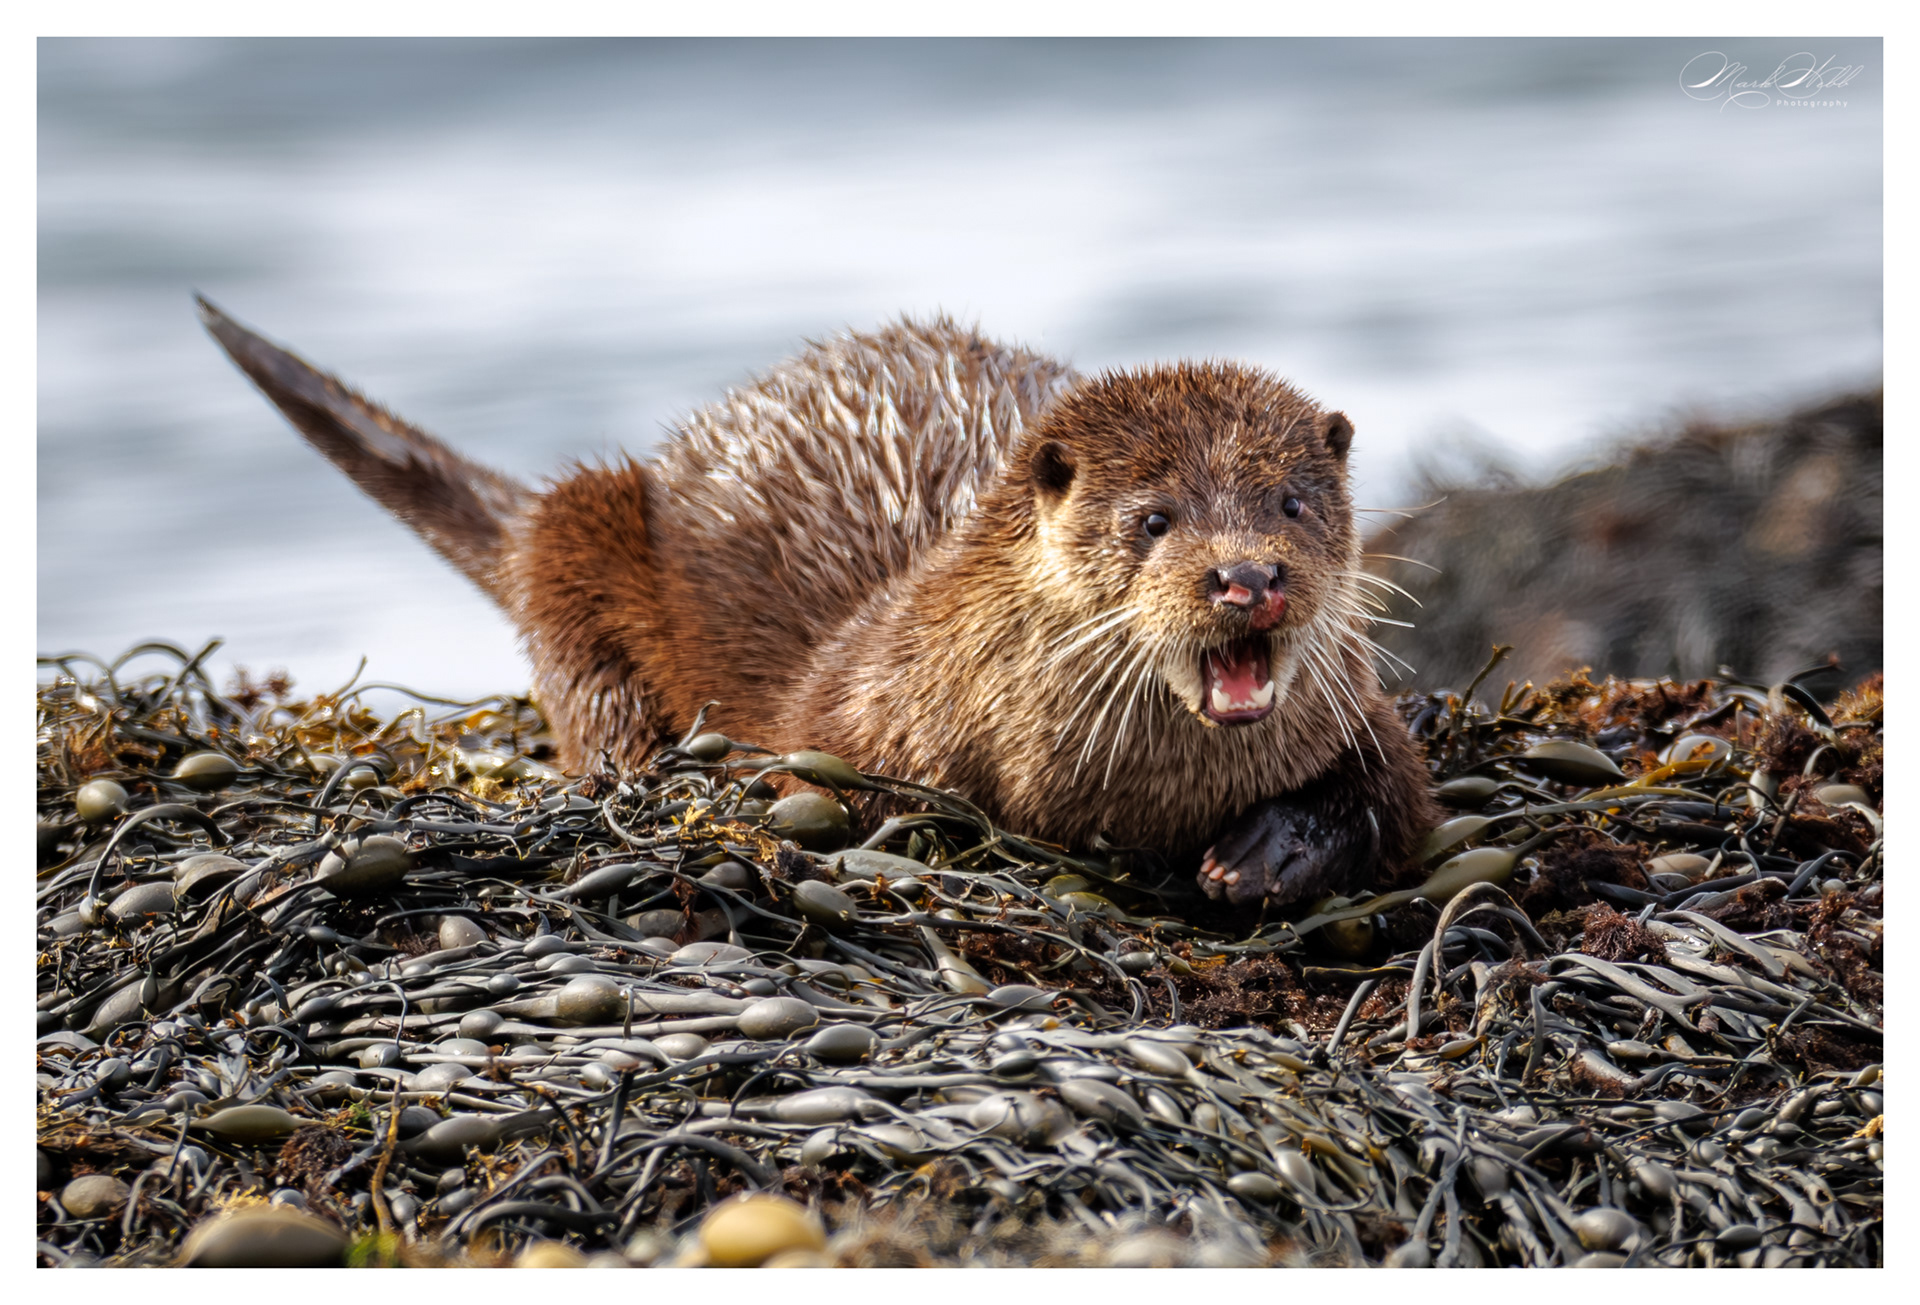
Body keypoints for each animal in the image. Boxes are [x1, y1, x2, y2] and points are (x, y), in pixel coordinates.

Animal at [199, 299, 1435, 909]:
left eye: (1291, 502)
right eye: (1155, 518)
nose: (1249, 577)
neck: (1136, 800)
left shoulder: (1358, 702)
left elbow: (1397, 797)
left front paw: (1267, 851)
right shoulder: (853, 705)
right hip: (582, 532)